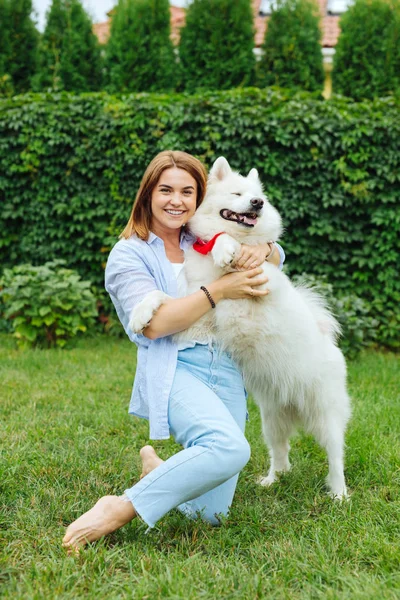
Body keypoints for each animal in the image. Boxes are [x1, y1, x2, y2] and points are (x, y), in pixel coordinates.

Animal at [131, 157, 350, 500]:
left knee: (335, 455)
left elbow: (225, 239)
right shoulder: (200, 308)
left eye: (258, 197)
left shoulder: (261, 284)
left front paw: (225, 248)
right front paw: (140, 315)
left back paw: (339, 494)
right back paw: (273, 480)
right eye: (237, 193)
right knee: (281, 453)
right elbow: (159, 295)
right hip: (271, 420)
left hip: (325, 414)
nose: (257, 203)